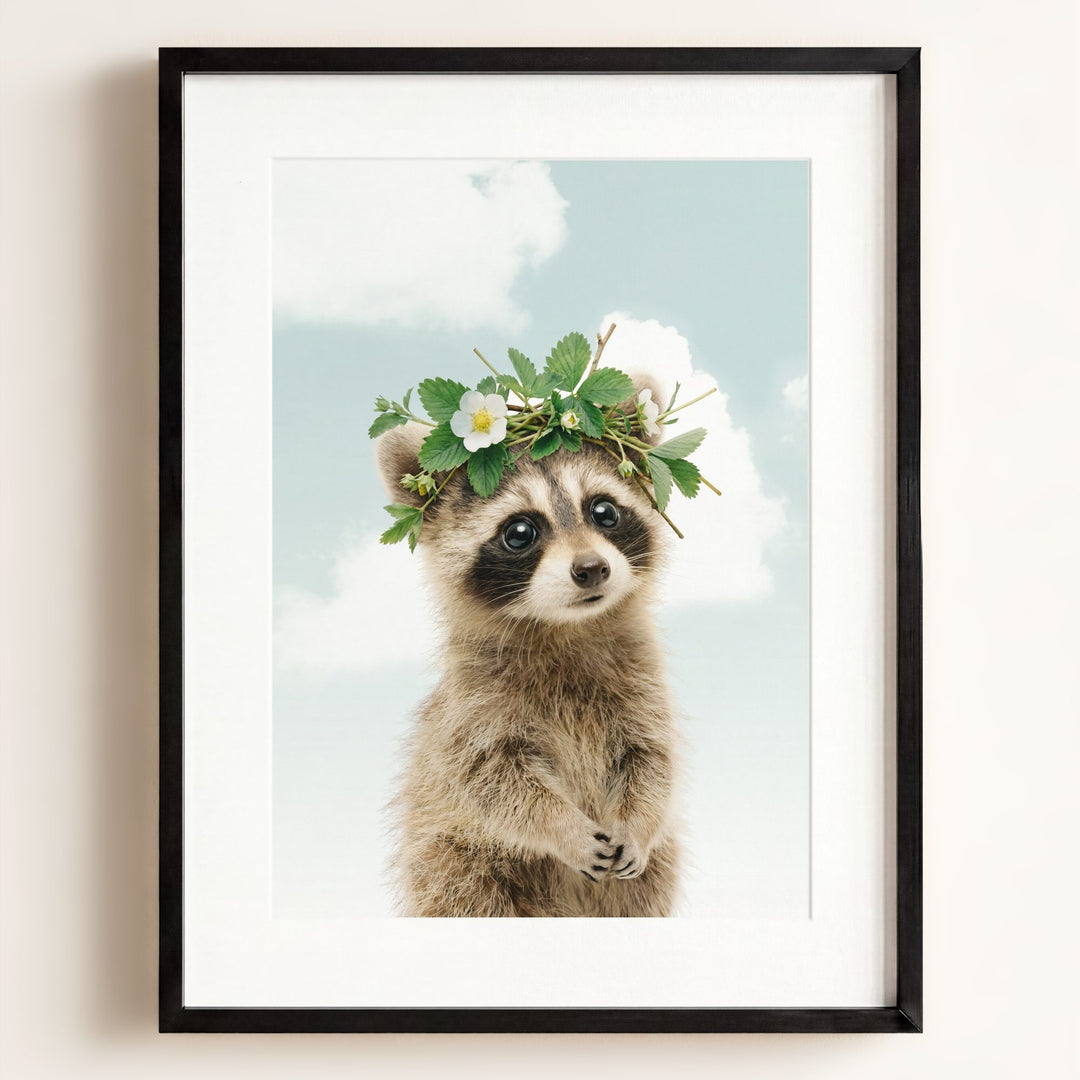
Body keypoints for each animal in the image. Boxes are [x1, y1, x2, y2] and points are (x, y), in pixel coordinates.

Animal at [376, 388, 680, 917]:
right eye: (520, 532)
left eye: (604, 511)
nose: (591, 569)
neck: (566, 629)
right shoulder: (472, 707)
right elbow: (494, 781)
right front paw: (562, 827)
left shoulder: (643, 682)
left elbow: (652, 760)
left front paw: (638, 823)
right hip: (454, 858)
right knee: (464, 893)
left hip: (654, 873)